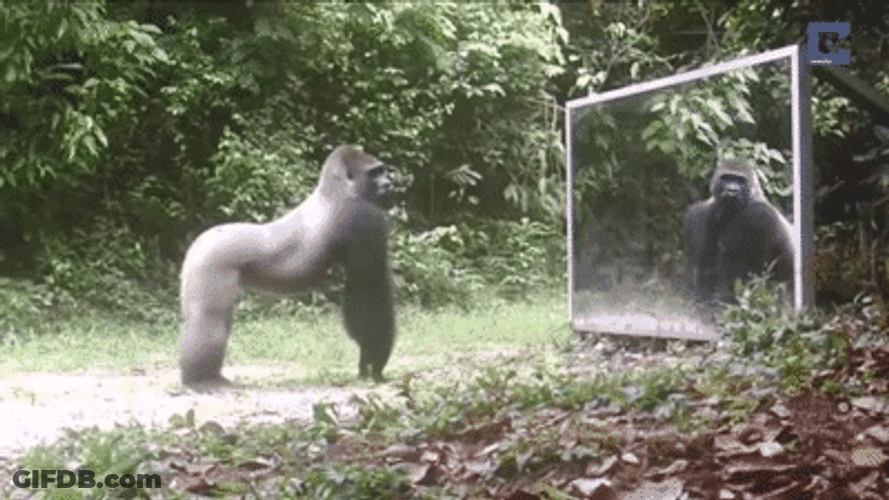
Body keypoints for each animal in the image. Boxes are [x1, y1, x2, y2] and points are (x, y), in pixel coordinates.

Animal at [178, 145, 395, 388]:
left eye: (384, 171)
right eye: (374, 173)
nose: (389, 183)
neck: (335, 189)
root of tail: (199, 242)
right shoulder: (365, 218)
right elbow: (369, 294)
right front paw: (374, 363)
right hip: (211, 261)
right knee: (209, 317)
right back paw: (202, 379)